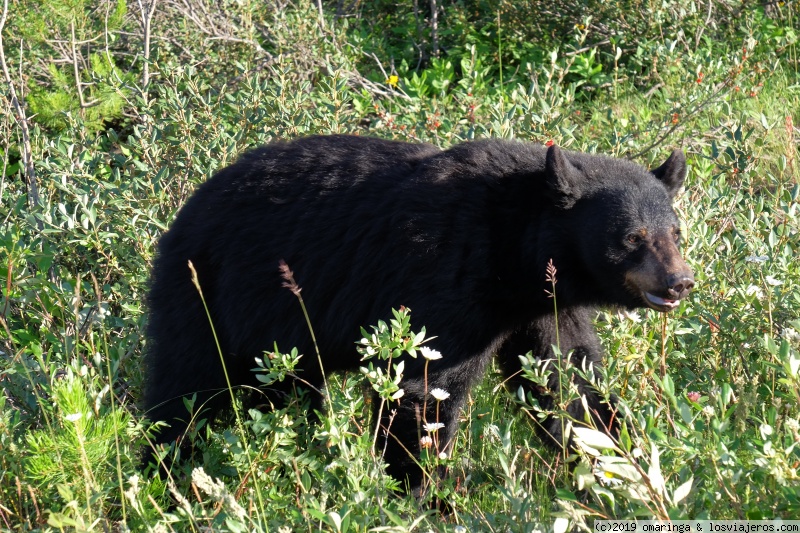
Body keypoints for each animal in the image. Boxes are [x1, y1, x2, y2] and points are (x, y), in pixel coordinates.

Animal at [145, 135, 692, 492]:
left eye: (675, 232)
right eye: (632, 237)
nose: (680, 282)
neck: (516, 251)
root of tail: (185, 210)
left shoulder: (543, 306)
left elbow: (569, 380)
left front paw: (619, 464)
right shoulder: (444, 275)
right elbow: (423, 386)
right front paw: (427, 488)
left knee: (284, 392)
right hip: (209, 293)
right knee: (187, 387)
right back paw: (166, 470)